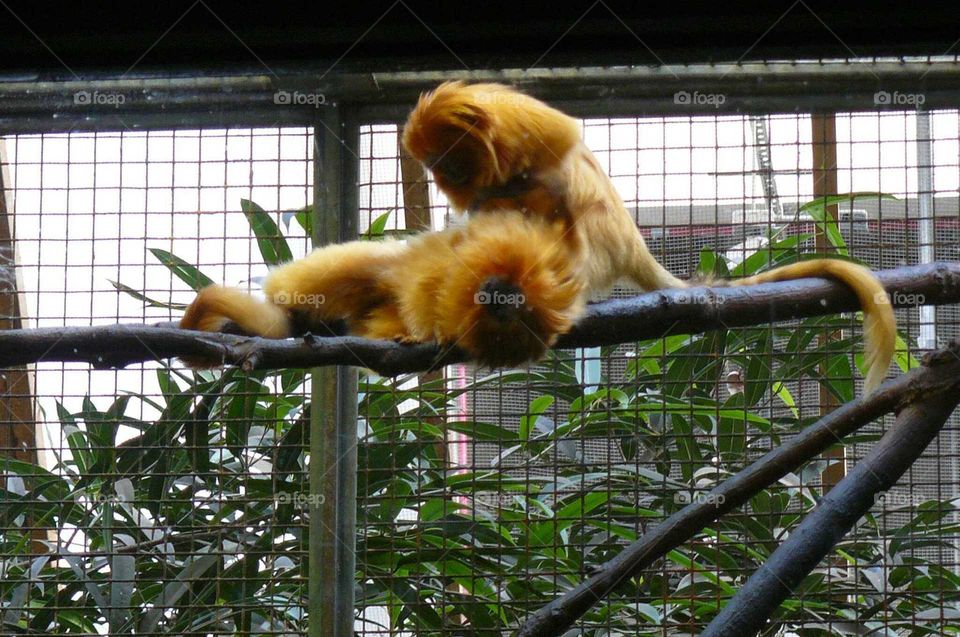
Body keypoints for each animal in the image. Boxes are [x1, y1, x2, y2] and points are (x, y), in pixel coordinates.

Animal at [179, 210, 585, 368]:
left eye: (513, 307)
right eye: (506, 295)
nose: (499, 300)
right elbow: (420, 281)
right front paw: (427, 332)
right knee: (359, 271)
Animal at [401, 81, 896, 392]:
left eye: (450, 159)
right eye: (437, 166)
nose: (445, 175)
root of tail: (631, 247)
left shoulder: (518, 122)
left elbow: (563, 145)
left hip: (597, 245)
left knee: (572, 189)